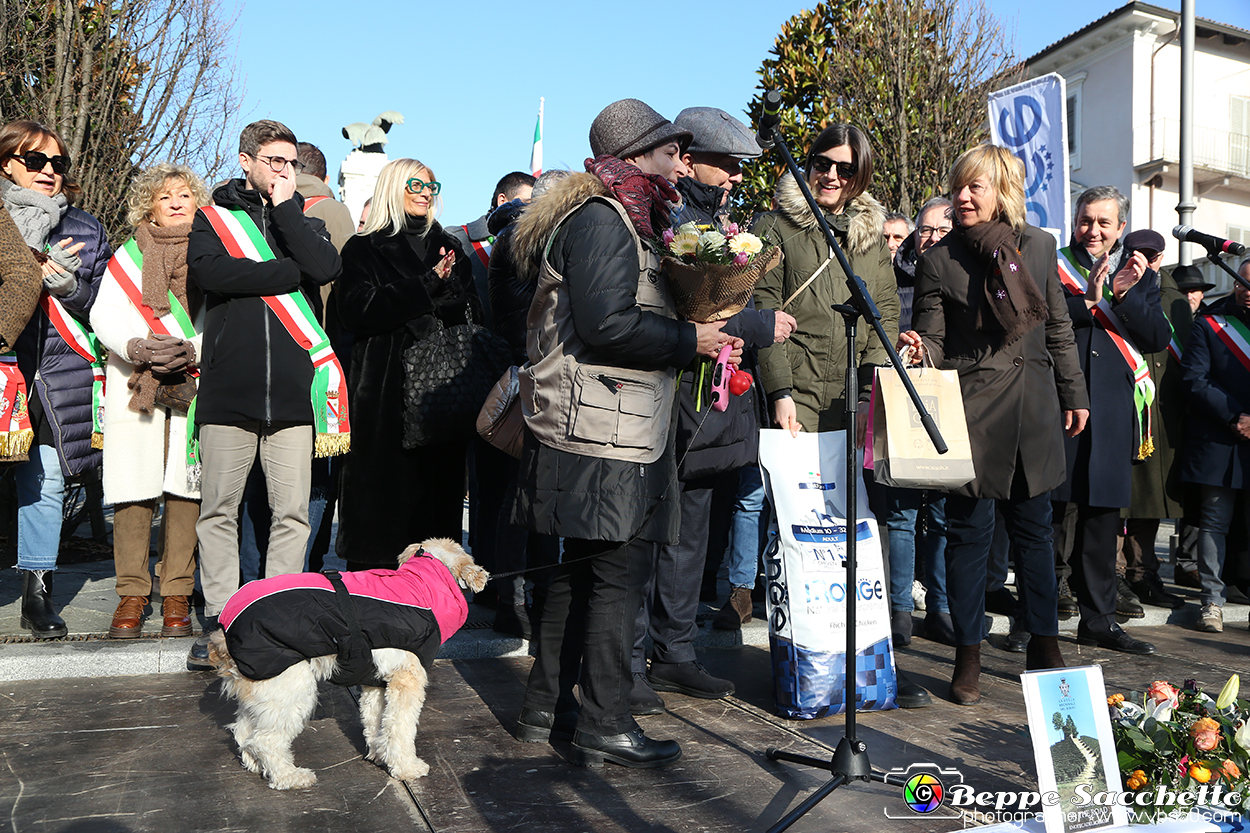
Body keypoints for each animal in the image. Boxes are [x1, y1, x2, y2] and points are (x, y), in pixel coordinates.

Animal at [207, 535, 485, 790]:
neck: (421, 584)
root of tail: (224, 631)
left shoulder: (376, 683)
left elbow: (377, 722)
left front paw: (380, 755)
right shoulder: (406, 680)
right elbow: (400, 727)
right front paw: (407, 767)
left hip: (263, 692)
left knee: (244, 733)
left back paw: (256, 765)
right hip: (290, 689)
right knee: (265, 741)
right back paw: (289, 777)